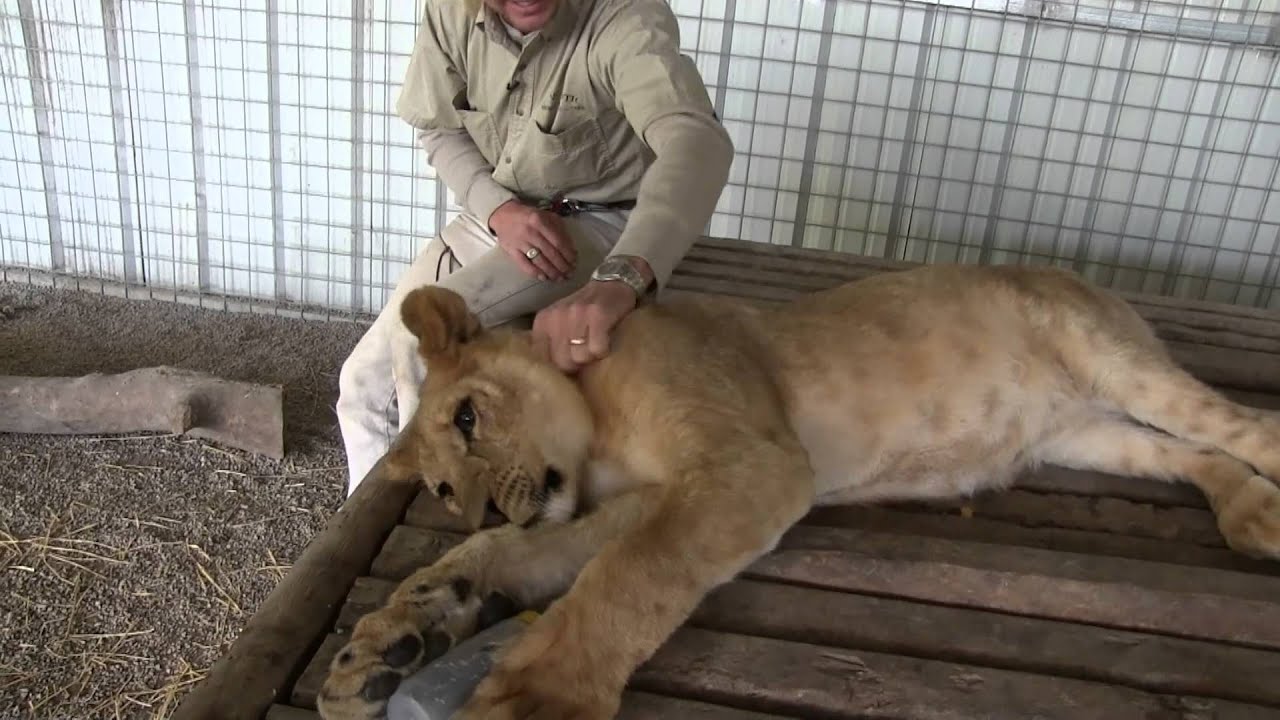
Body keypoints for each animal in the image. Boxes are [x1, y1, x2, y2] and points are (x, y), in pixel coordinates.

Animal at [317, 262, 1280, 720]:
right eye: (444, 489)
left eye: (469, 416)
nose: (480, 504)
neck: (595, 427)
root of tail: (1082, 278)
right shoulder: (653, 493)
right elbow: (538, 556)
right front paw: (386, 647)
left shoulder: (752, 465)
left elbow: (631, 577)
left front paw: (538, 694)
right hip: (1084, 434)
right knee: (1190, 455)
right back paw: (1250, 511)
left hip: (1113, 359)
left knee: (1244, 426)